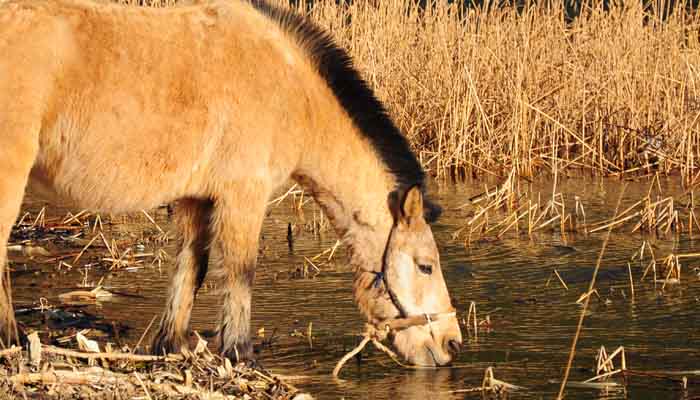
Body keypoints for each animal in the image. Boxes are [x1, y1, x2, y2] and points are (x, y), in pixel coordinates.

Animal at [1, 0, 464, 366]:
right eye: (425, 265)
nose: (452, 344)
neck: (290, 86)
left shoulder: (196, 198)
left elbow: (191, 268)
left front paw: (170, 345)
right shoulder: (243, 195)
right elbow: (241, 272)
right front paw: (240, 352)